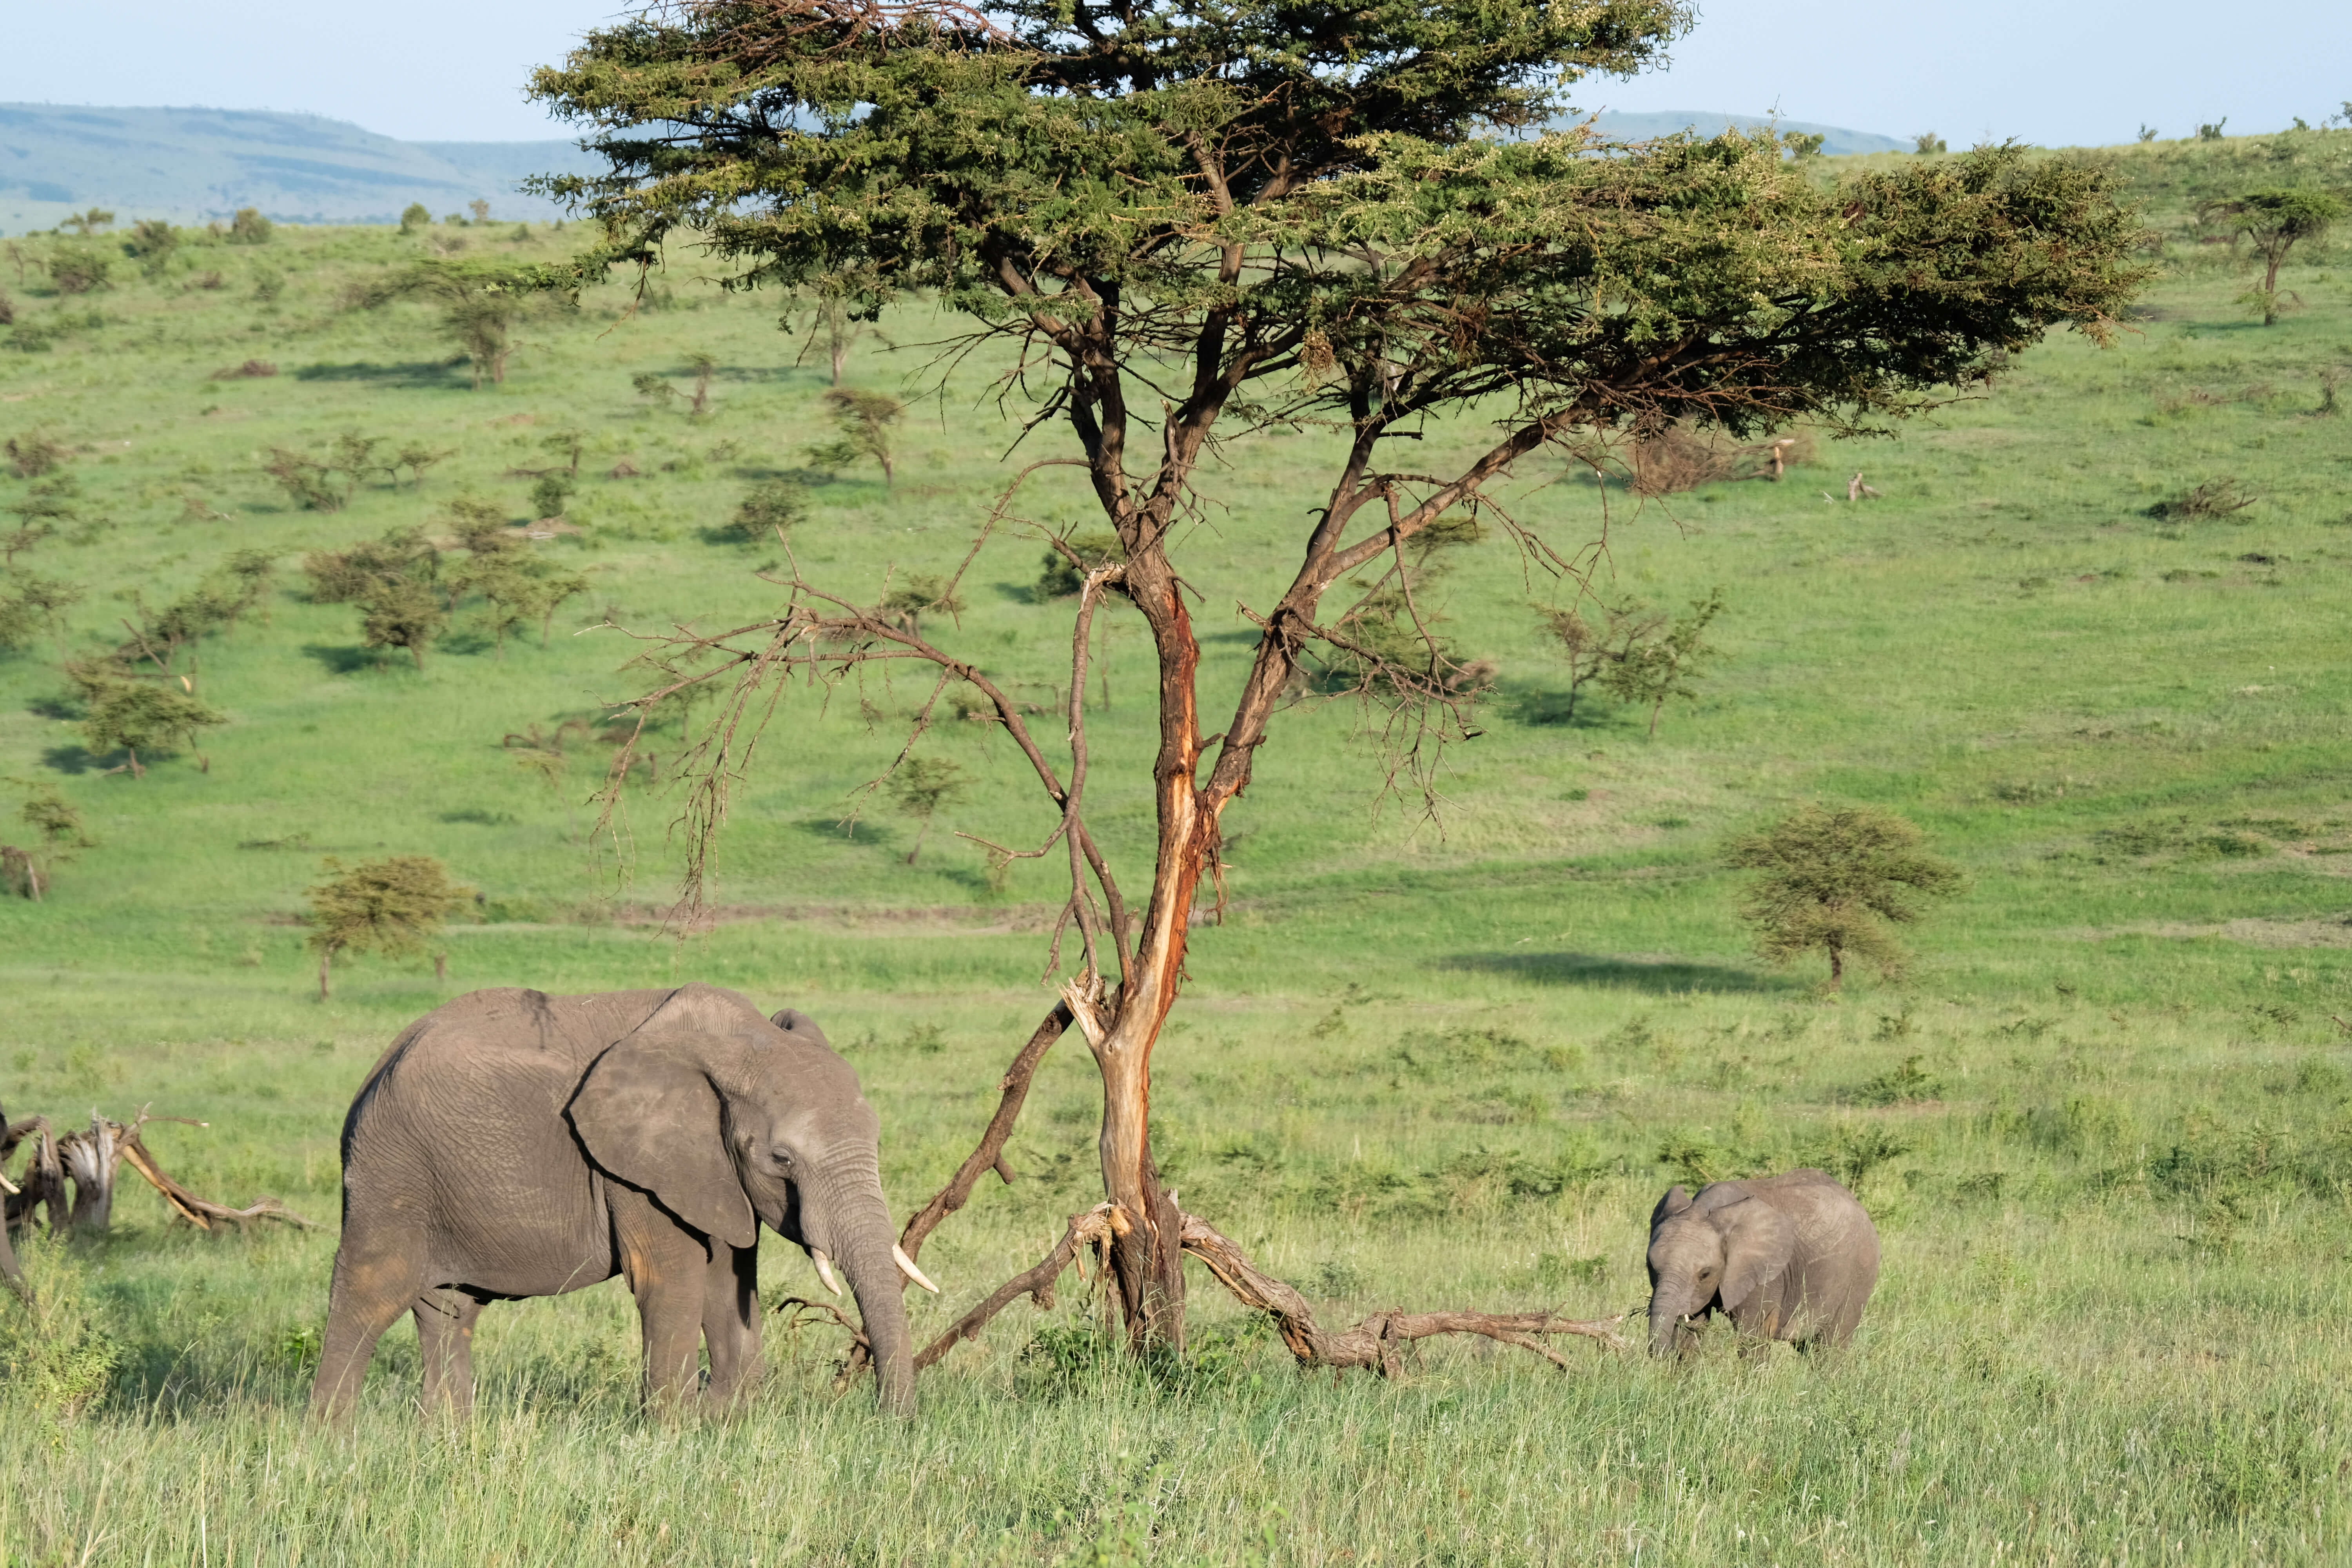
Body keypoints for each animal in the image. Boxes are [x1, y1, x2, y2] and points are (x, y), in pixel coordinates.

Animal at [308, 982, 931, 1420]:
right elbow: (671, 1282)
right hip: (392, 1172)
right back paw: (331, 1448)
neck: (736, 1043)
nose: (885, 1421)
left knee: (449, 1312)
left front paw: (728, 1420)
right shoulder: (634, 1169)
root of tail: (380, 1064)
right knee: (367, 1297)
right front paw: (678, 1435)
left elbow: (729, 1281)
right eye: (782, 1160)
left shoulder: (713, 1173)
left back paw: (451, 1440)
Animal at [1646, 1166, 1882, 1363]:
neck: (1703, 1209)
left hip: (1860, 1275)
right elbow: (1691, 1333)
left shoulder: (1766, 1274)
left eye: (1705, 1274)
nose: (1661, 1355)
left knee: (1830, 1347)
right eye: (1651, 1267)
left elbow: (1753, 1336)